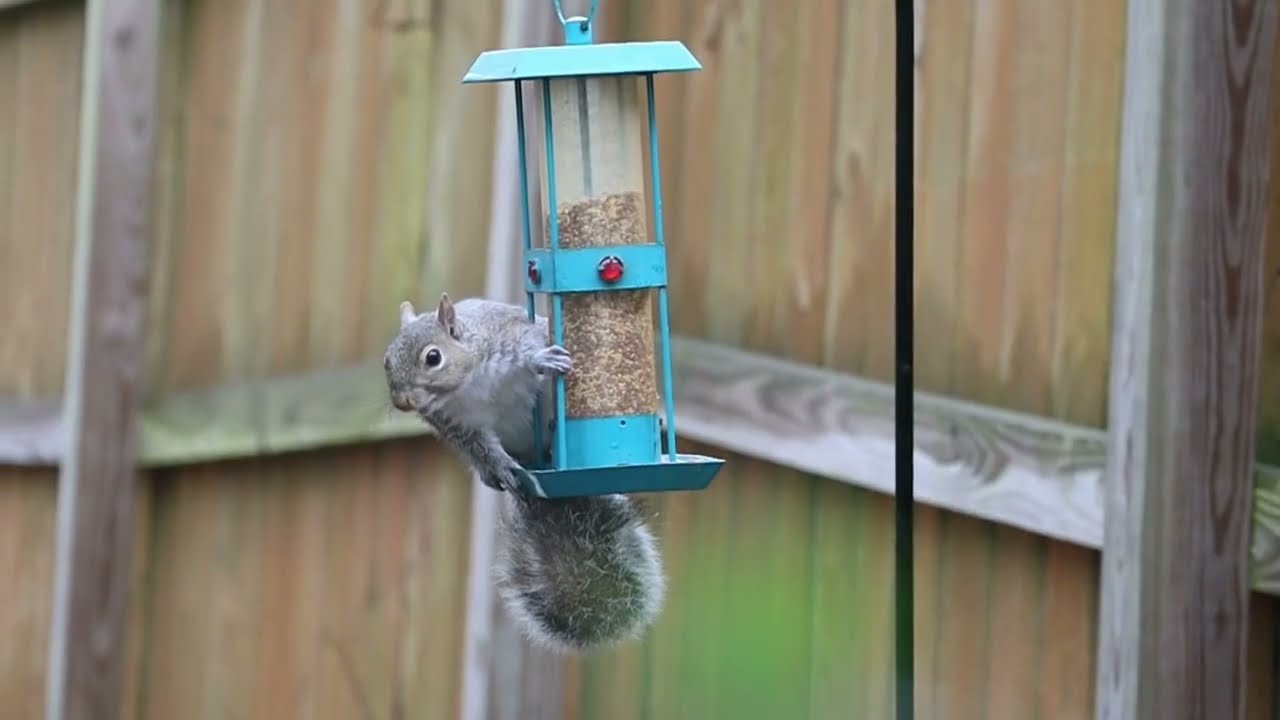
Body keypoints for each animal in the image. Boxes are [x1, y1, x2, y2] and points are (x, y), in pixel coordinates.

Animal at [383, 293, 666, 654]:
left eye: (433, 357)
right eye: (387, 361)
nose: (402, 402)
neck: (466, 384)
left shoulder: (506, 337)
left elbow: (528, 345)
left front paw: (542, 358)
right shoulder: (458, 426)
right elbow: (482, 448)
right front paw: (502, 467)